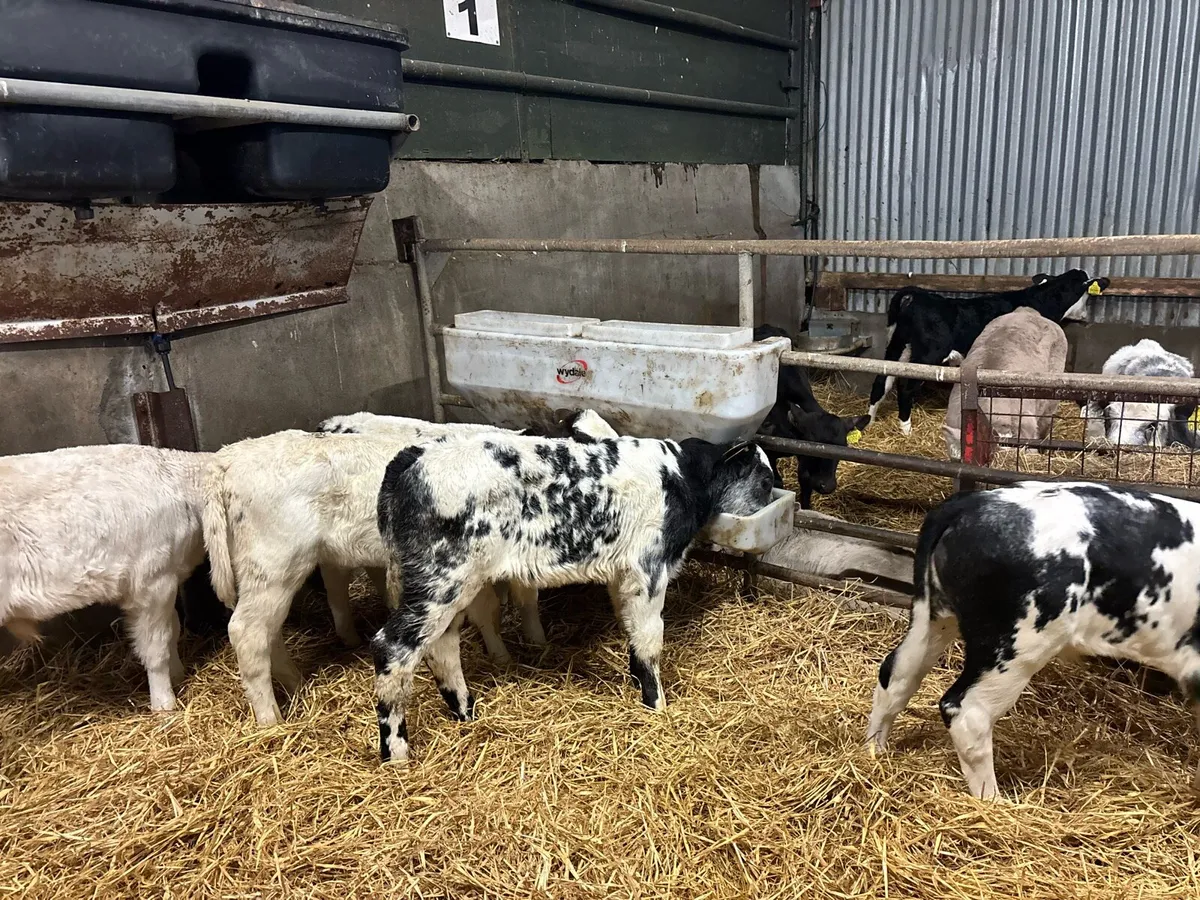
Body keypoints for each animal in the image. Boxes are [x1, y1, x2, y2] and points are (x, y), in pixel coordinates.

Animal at [371, 432, 775, 761]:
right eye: (766, 480)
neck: (680, 477)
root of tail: (411, 458)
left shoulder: (622, 574)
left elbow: (631, 630)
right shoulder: (648, 569)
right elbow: (649, 640)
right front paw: (656, 704)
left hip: (448, 586)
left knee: (442, 646)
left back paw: (465, 713)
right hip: (441, 579)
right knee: (392, 647)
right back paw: (396, 753)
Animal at [867, 270, 1108, 434]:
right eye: (1086, 295)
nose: (1086, 318)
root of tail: (916, 295)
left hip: (897, 347)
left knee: (881, 381)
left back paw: (868, 422)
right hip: (927, 354)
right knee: (905, 387)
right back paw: (906, 428)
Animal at [867, 481, 1200, 799]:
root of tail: (971, 502)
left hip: (932, 616)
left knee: (896, 674)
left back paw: (874, 752)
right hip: (1017, 645)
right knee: (967, 712)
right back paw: (994, 802)